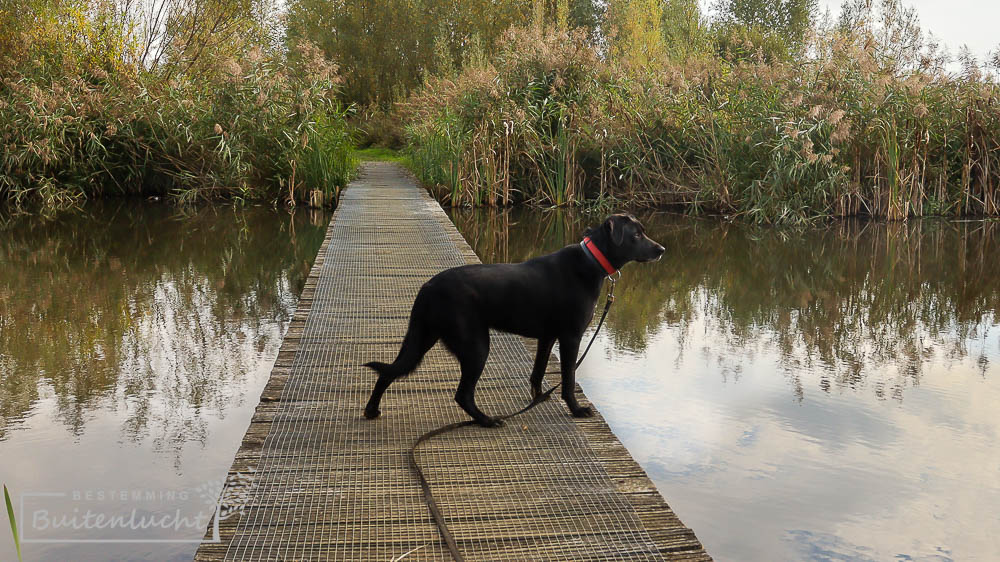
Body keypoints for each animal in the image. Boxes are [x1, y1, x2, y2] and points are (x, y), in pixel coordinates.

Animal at [362, 213, 664, 424]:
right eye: (637, 234)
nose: (661, 250)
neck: (591, 261)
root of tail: (428, 287)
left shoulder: (548, 336)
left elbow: (537, 372)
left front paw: (538, 400)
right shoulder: (571, 337)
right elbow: (568, 378)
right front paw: (576, 409)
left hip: (422, 338)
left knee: (388, 372)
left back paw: (372, 410)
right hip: (475, 346)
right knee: (462, 393)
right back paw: (487, 421)